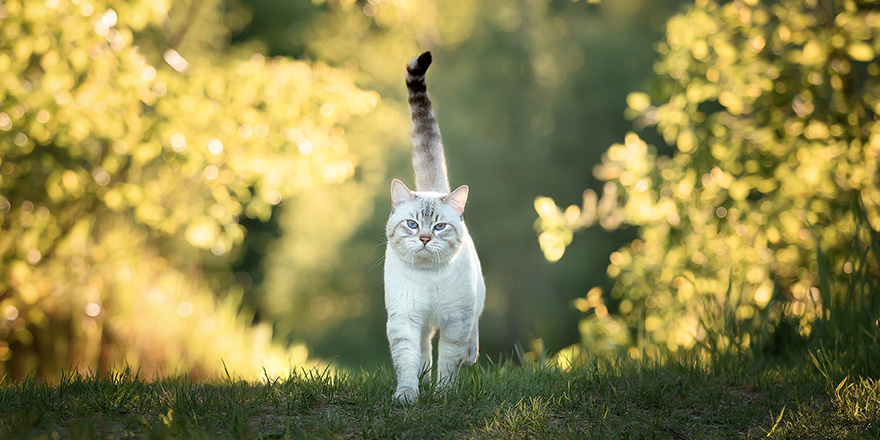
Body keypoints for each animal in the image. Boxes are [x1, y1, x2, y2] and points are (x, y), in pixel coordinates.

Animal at [382, 49, 484, 404]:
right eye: (413, 225)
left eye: (439, 227)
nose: (425, 238)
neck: (428, 279)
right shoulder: (404, 321)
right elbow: (408, 361)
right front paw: (408, 395)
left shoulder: (456, 322)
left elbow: (450, 362)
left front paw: (442, 394)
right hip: (421, 324)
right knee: (425, 349)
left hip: (474, 303)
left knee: (472, 337)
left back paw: (470, 356)